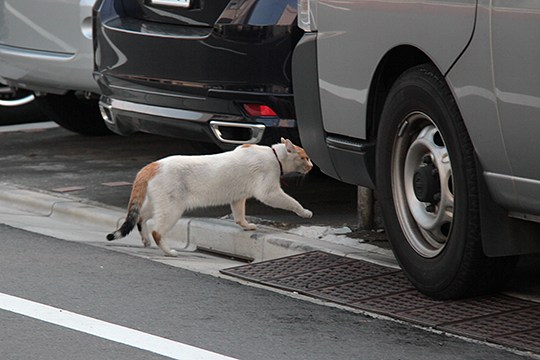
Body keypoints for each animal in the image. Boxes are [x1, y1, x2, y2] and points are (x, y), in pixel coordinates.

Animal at [106, 138, 314, 256]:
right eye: (305, 158)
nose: (312, 166)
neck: (274, 155)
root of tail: (151, 166)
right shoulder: (269, 192)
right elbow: (292, 202)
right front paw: (305, 212)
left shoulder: (238, 197)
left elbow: (239, 215)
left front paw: (246, 226)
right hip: (172, 208)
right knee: (157, 231)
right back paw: (169, 252)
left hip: (155, 204)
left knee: (140, 218)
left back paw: (145, 241)